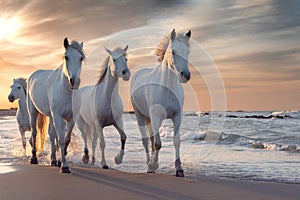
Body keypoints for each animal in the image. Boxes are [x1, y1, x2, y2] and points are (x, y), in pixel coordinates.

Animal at [27, 38, 85, 173]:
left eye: (81, 58)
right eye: (66, 57)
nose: (74, 82)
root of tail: (33, 76)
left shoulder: (70, 118)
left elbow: (65, 139)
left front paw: (59, 161)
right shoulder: (58, 116)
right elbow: (61, 140)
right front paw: (64, 166)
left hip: (51, 116)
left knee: (52, 135)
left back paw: (53, 160)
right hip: (33, 112)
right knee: (34, 133)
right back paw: (33, 158)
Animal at [130, 29, 191, 177]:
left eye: (188, 51)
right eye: (173, 51)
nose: (185, 75)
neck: (167, 87)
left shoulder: (177, 117)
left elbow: (176, 141)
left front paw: (179, 169)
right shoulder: (156, 117)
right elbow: (157, 144)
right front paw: (153, 164)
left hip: (150, 118)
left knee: (151, 139)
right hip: (140, 116)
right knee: (146, 141)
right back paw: (149, 164)